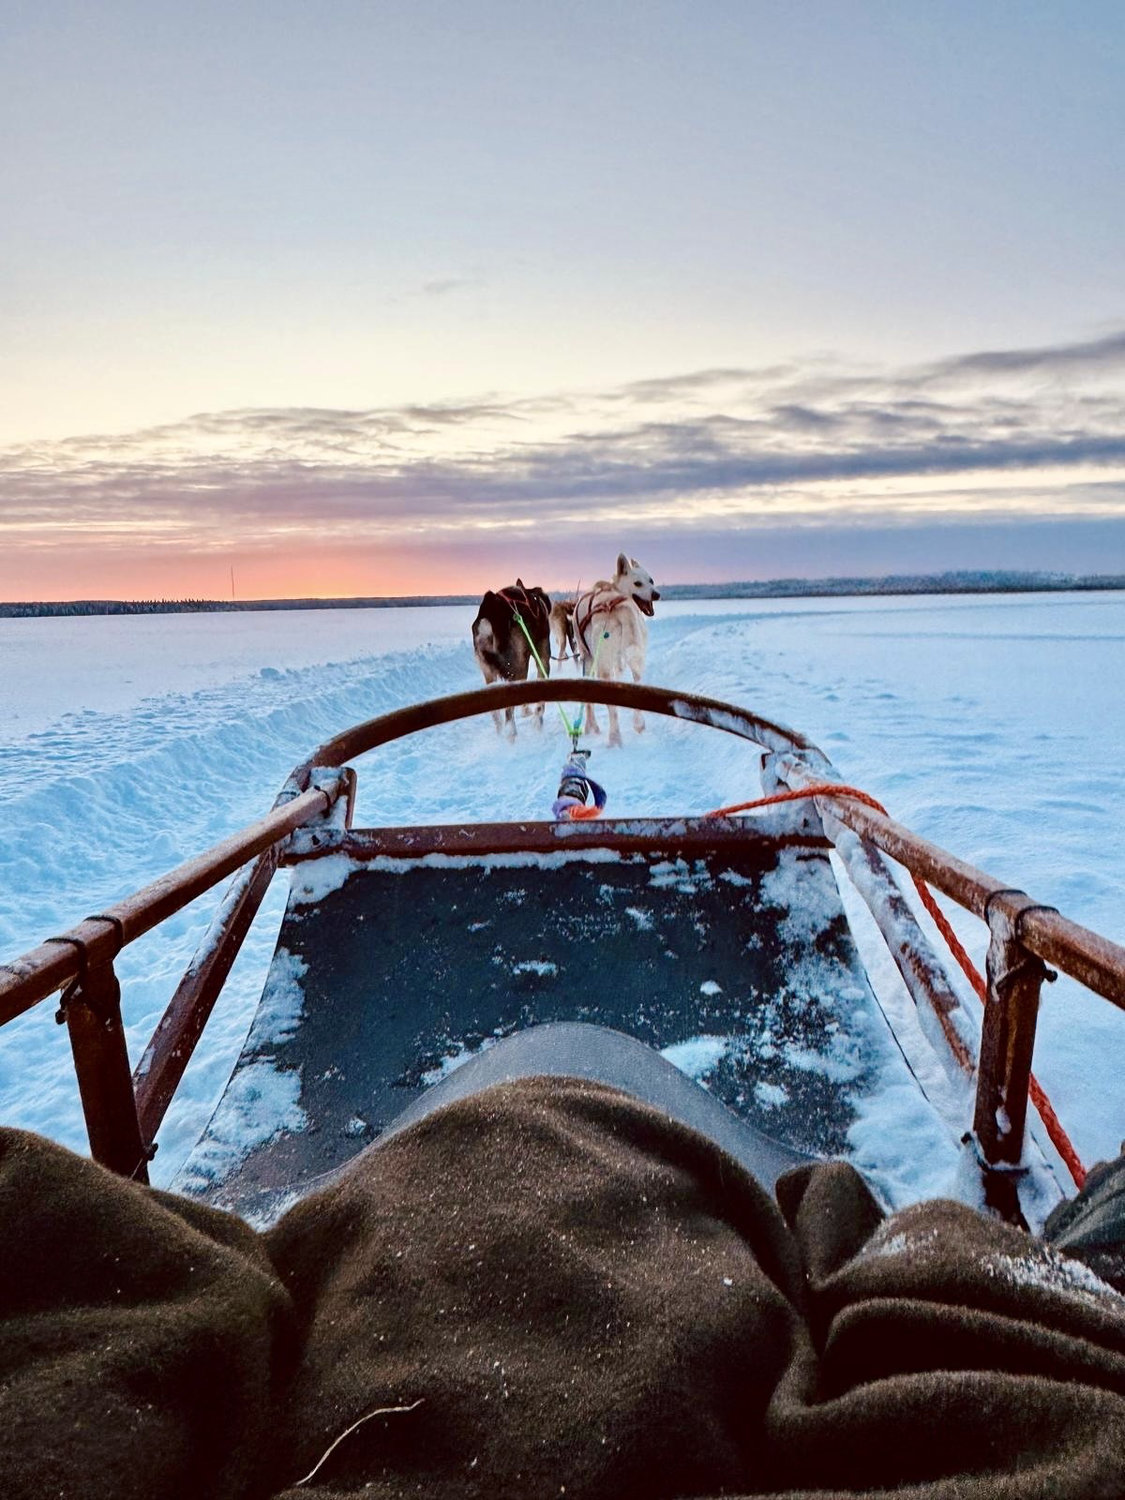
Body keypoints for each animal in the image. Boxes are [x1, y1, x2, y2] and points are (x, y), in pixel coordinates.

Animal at [471, 579, 552, 736]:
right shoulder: (542, 656)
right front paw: (537, 720)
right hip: (517, 665)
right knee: (509, 712)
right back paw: (511, 732)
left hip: (490, 671)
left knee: (496, 714)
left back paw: (501, 732)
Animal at [573, 554, 660, 746]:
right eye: (638, 583)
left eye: (651, 580)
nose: (656, 594)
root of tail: (617, 607)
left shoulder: (588, 658)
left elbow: (588, 701)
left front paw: (591, 727)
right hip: (635, 658)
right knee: (637, 683)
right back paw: (638, 724)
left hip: (602, 665)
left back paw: (614, 737)